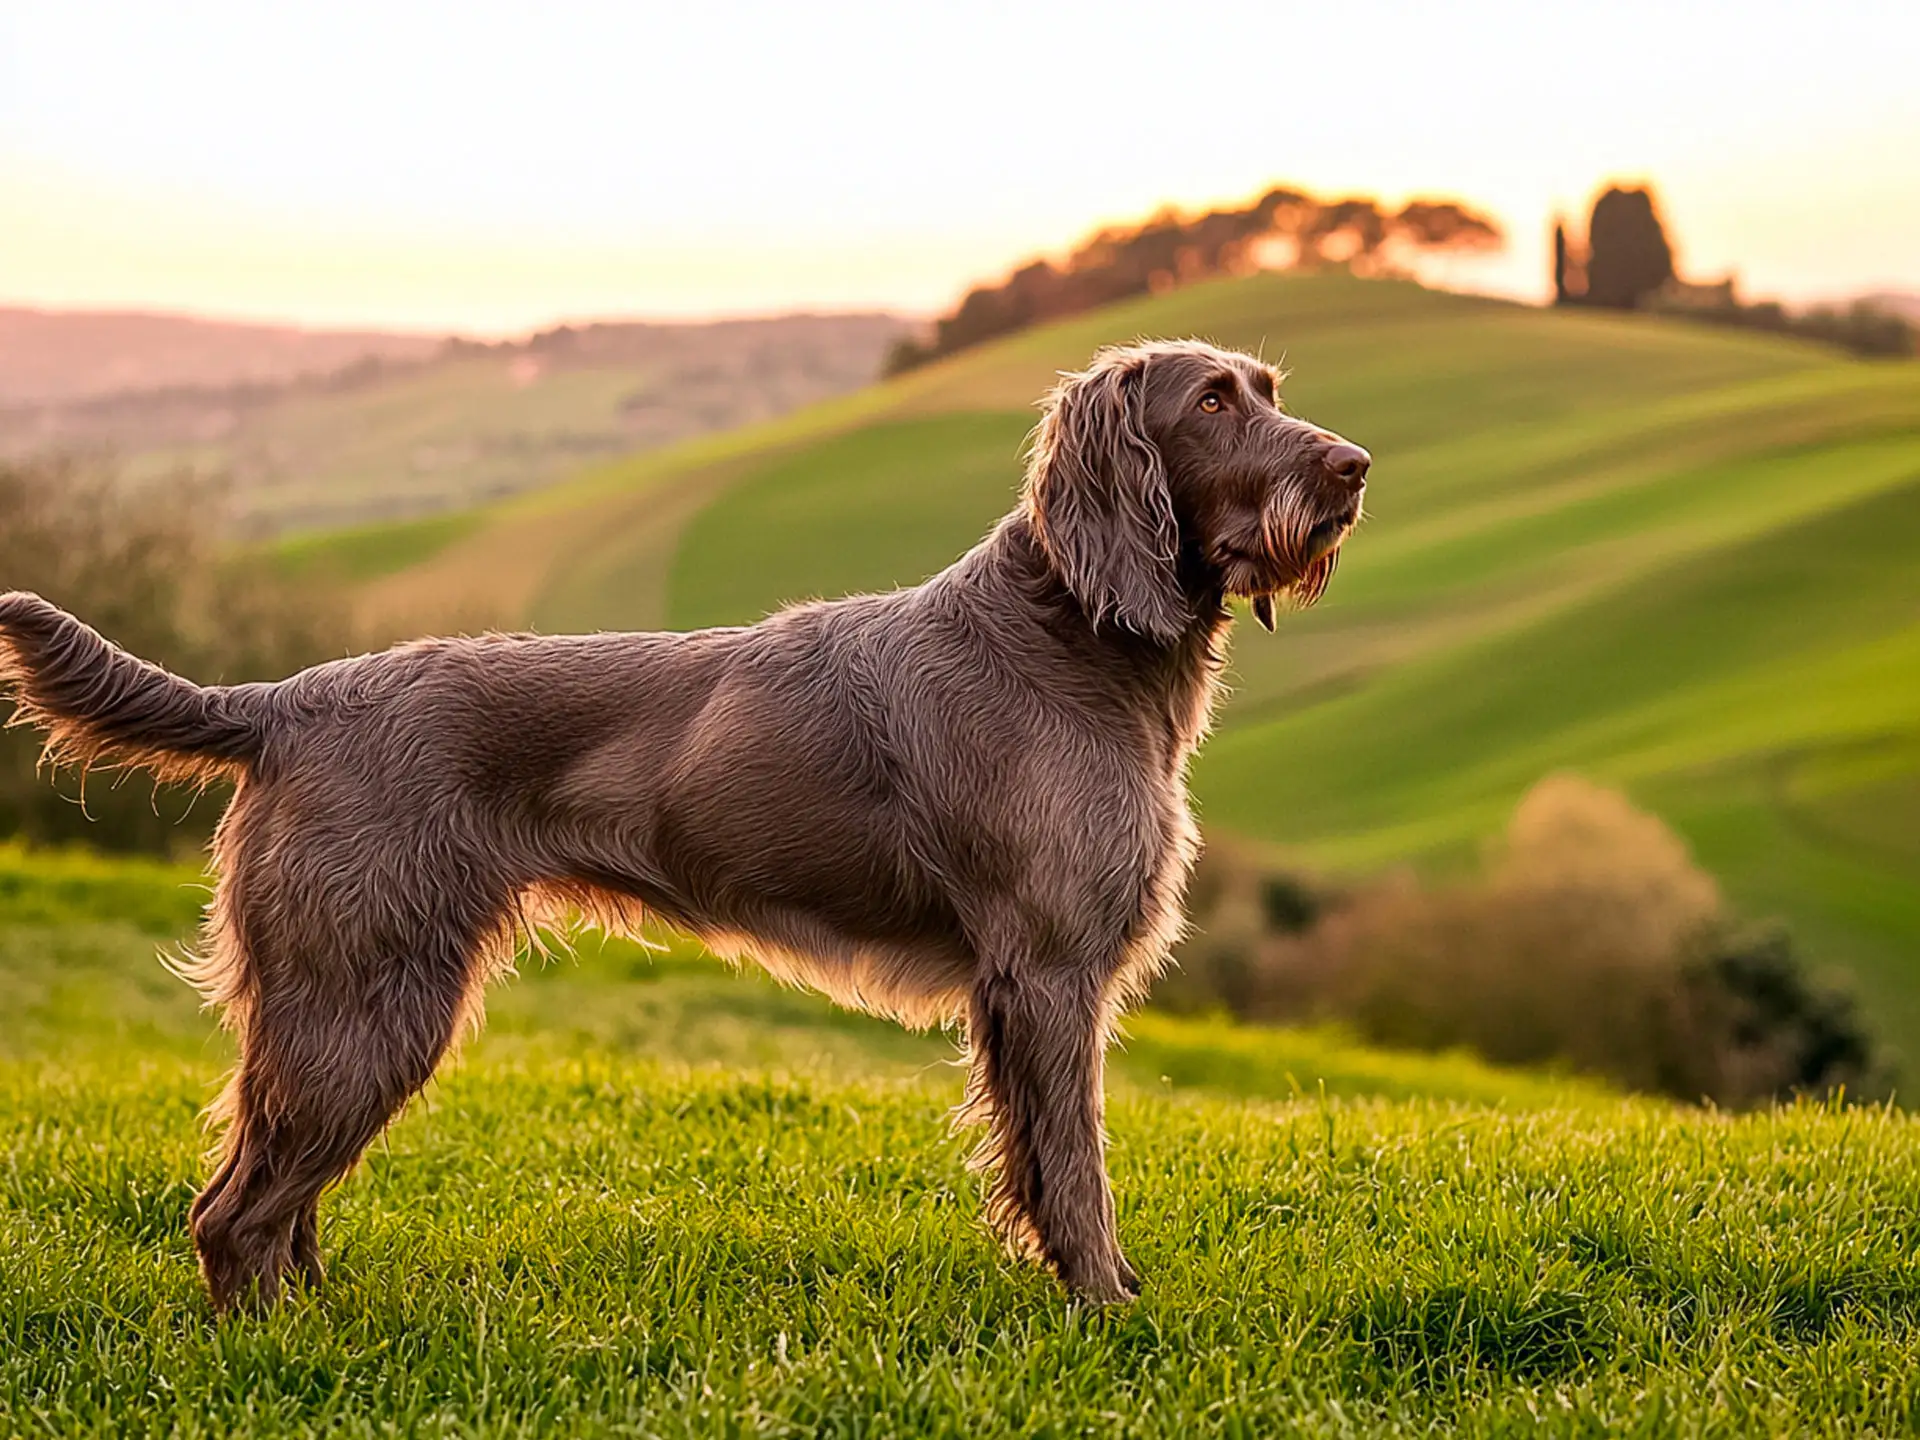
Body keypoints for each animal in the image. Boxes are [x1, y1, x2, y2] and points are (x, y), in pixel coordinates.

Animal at [0, 343, 1367, 1313]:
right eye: (1212, 404)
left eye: (1270, 391)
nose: (1354, 467)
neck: (1073, 635)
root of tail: (287, 700)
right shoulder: (1049, 972)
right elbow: (1076, 1168)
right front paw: (1106, 1312)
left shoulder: (1030, 987)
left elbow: (1042, 1164)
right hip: (366, 1001)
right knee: (233, 1214)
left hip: (335, 1008)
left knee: (277, 1205)